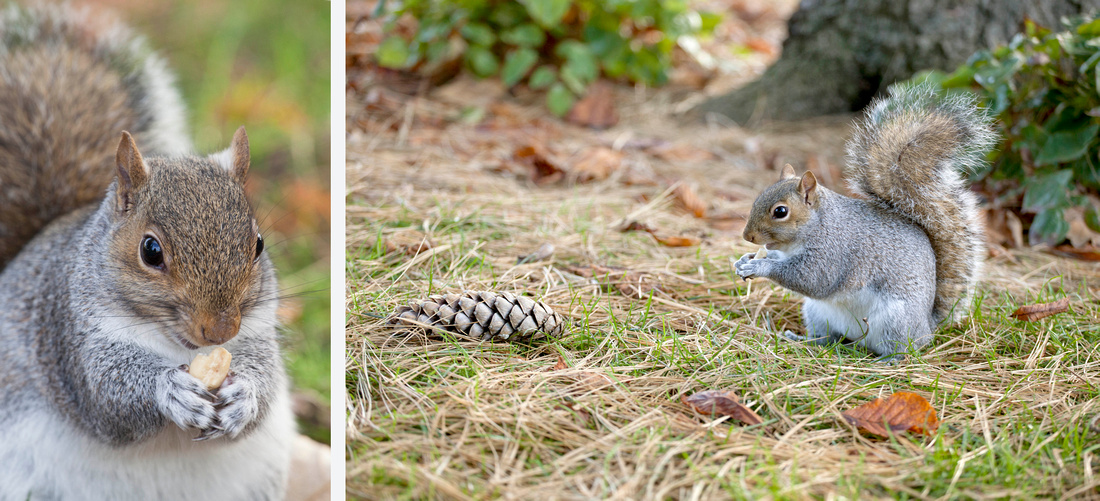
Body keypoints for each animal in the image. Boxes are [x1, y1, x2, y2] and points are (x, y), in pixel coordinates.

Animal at [0, 2, 294, 497]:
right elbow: (107, 395)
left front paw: (245, 397)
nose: (220, 330)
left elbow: (266, 377)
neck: (176, 347)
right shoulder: (71, 335)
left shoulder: (255, 330)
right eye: (151, 251)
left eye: (257, 245)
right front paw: (169, 390)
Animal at [739, 83, 998, 361]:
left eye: (780, 211)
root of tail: (928, 324)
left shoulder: (833, 252)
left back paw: (890, 360)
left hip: (895, 320)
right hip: (818, 313)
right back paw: (804, 340)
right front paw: (744, 260)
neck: (817, 225)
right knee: (828, 337)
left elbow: (813, 279)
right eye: (759, 197)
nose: (747, 236)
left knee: (906, 347)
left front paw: (760, 266)